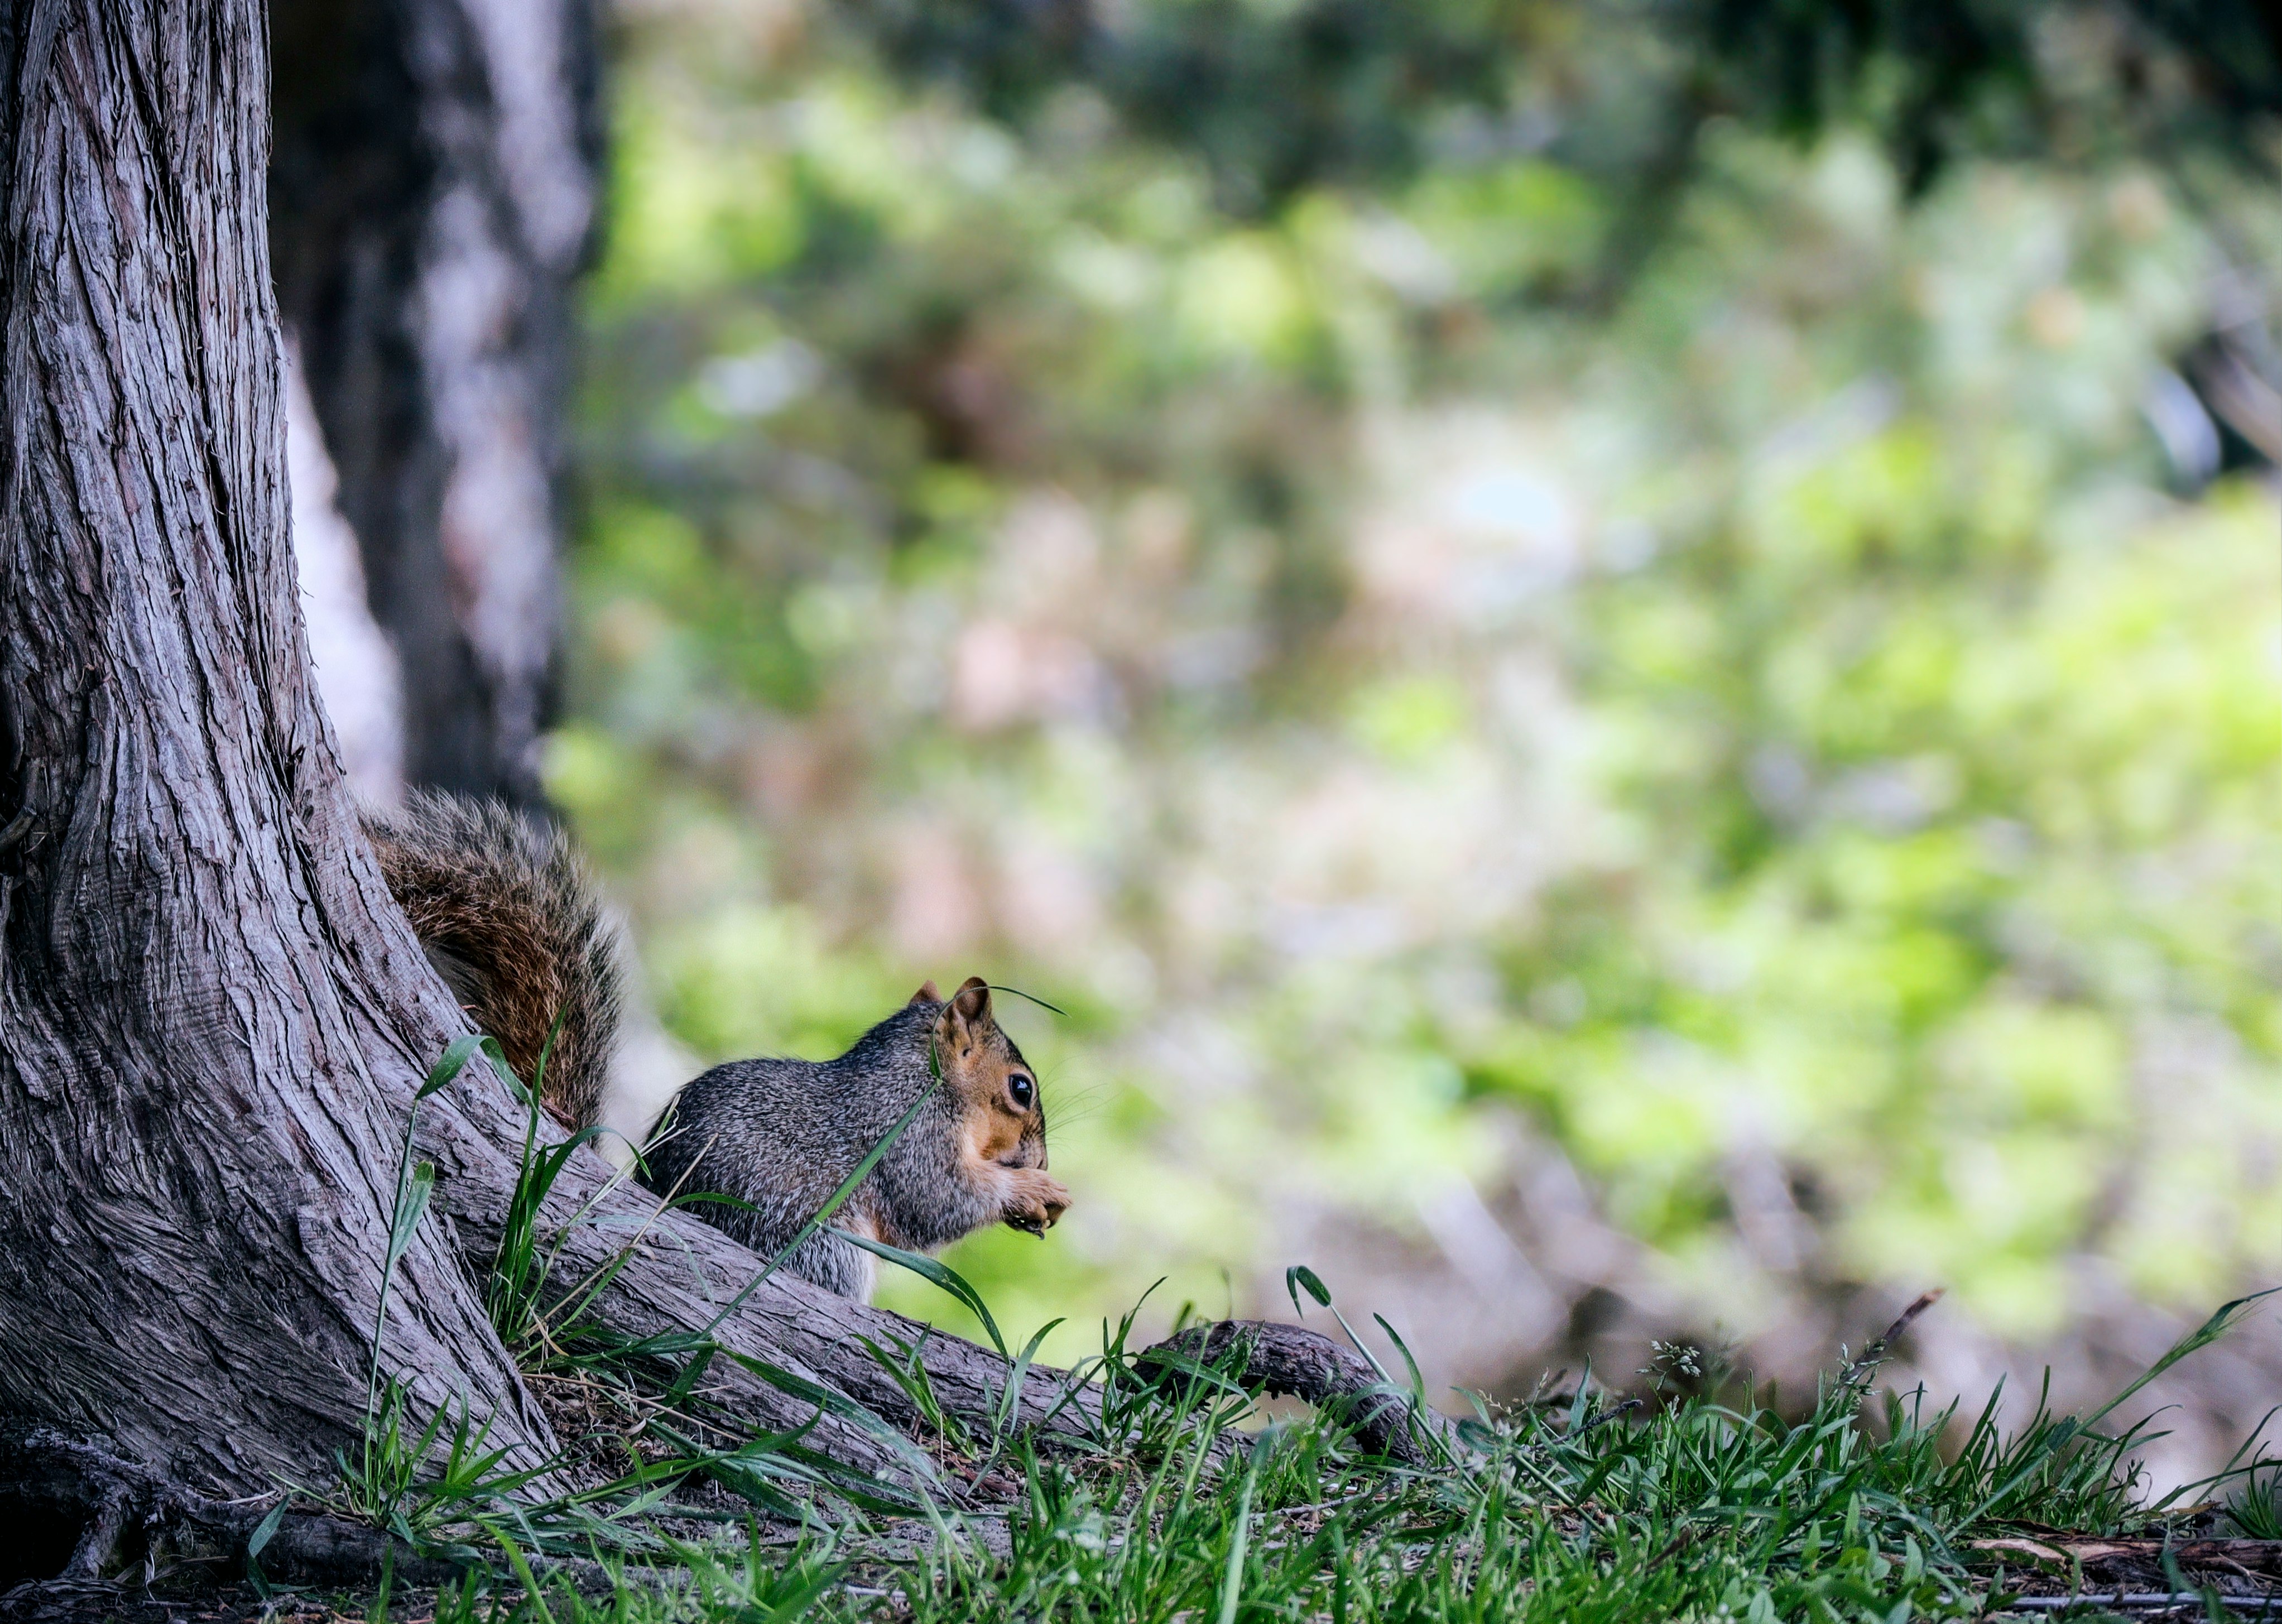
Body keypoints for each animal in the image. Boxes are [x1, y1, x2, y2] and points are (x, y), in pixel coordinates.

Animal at [355, 789, 1068, 1304]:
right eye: (1021, 1088)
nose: (1038, 1154)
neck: (925, 1083)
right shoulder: (906, 1136)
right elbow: (937, 1201)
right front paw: (1029, 1189)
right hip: (819, 1244)